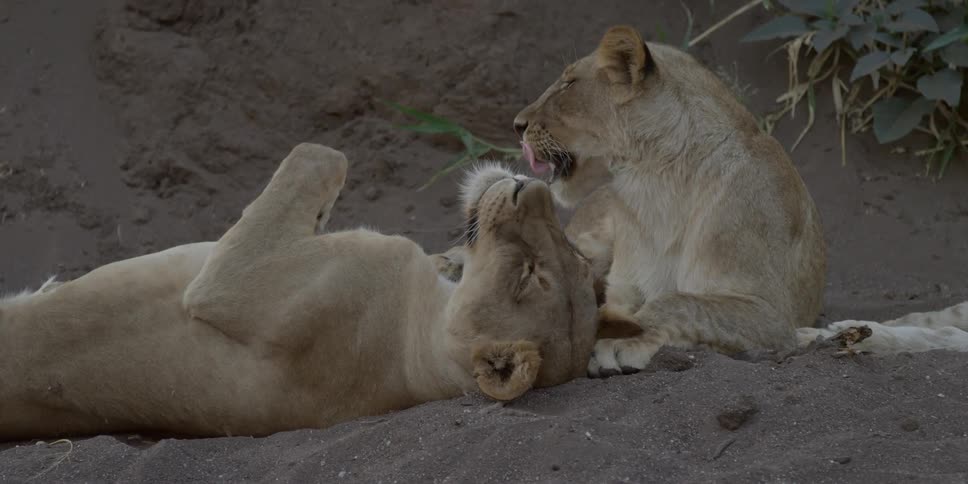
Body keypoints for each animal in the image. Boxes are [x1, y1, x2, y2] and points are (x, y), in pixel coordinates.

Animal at [0, 143, 599, 441]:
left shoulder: (228, 284)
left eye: (530, 274)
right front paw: (446, 254)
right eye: (574, 253)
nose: (530, 186)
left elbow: (319, 154)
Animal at [511, 25, 828, 376]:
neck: (654, 183)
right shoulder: (623, 287)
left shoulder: (772, 315)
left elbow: (676, 301)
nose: (517, 125)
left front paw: (622, 343)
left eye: (568, 84)